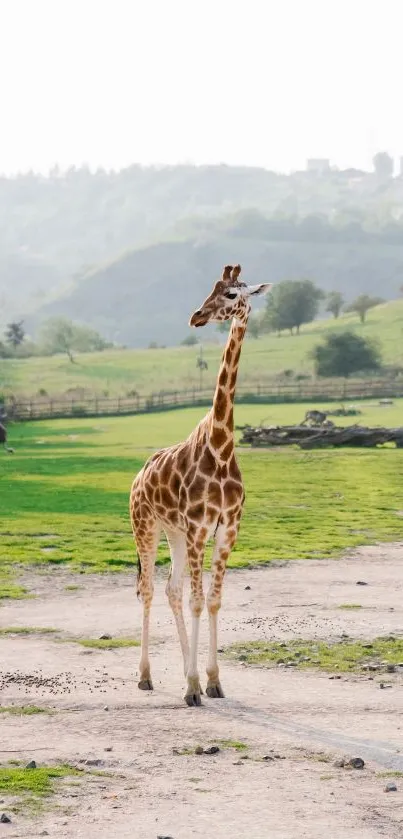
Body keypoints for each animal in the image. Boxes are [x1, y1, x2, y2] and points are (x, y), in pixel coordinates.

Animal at [131, 266, 274, 704]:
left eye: (231, 294)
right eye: (210, 289)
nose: (196, 316)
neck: (222, 446)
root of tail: (138, 475)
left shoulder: (226, 529)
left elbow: (212, 600)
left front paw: (210, 680)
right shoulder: (199, 528)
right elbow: (197, 601)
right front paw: (193, 687)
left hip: (174, 532)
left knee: (172, 590)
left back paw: (181, 670)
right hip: (146, 527)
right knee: (149, 589)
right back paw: (146, 676)